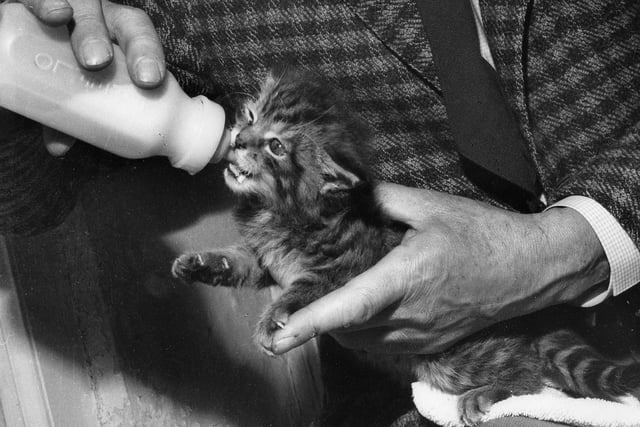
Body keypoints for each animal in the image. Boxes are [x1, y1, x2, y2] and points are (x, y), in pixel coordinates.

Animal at [171, 68, 640, 426]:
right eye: (250, 115)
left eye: (276, 146)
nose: (236, 140)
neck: (277, 210)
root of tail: (535, 321)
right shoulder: (264, 258)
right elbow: (238, 263)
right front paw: (200, 264)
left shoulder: (349, 265)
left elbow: (305, 288)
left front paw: (274, 317)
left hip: (454, 356)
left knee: (529, 374)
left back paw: (488, 394)